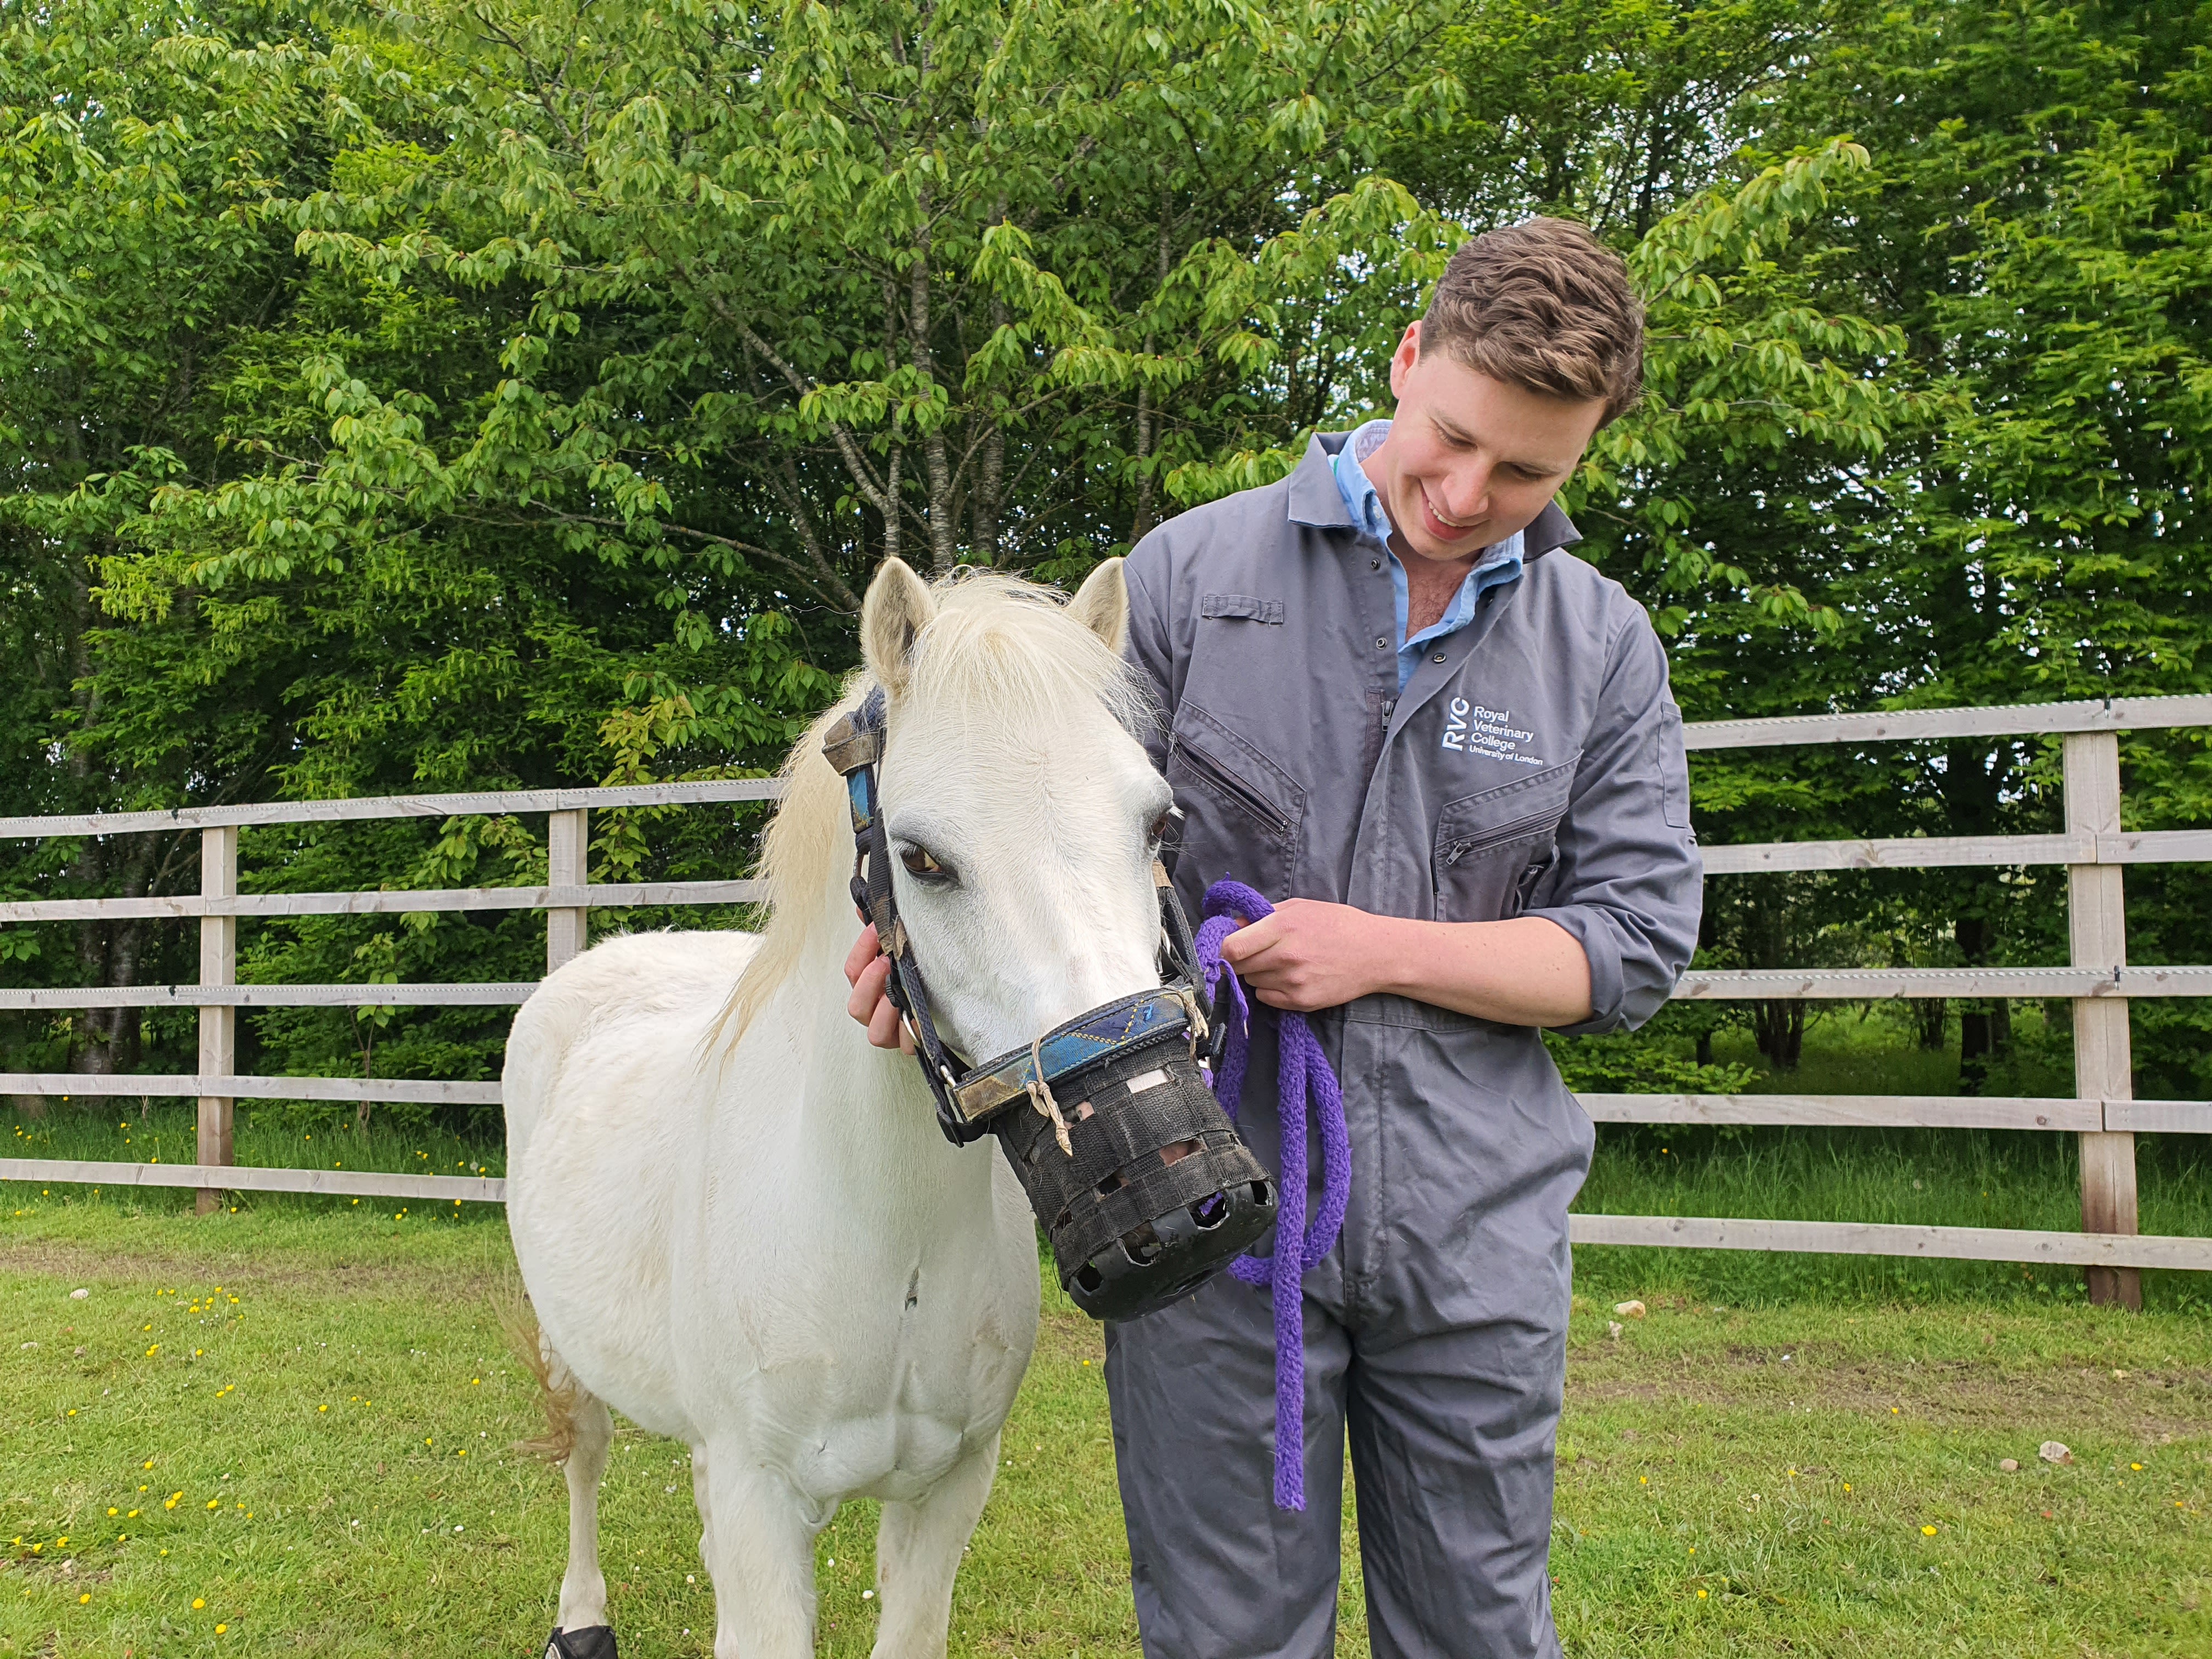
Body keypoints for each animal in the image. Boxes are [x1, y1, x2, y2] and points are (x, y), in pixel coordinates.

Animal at [502, 562, 1177, 1659]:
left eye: (1158, 824)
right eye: (926, 857)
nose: (1166, 1182)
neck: (885, 1243)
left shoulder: (948, 1490)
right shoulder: (763, 1505)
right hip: (569, 1352)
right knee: (585, 1456)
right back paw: (582, 1620)